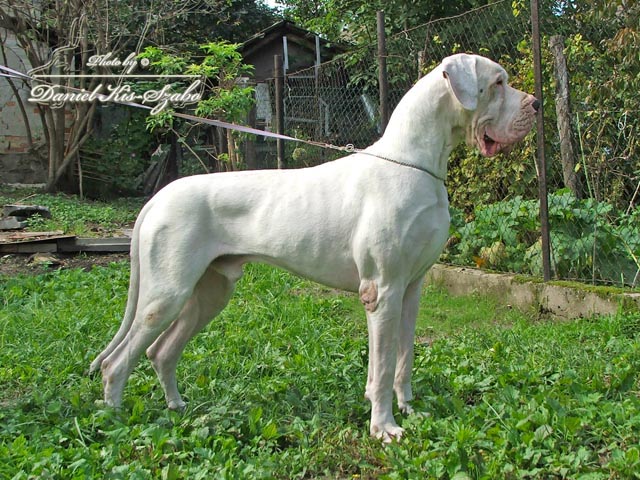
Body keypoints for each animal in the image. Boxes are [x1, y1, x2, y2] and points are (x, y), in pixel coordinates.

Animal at [90, 53, 538, 442]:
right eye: (498, 82)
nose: (536, 104)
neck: (417, 162)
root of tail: (156, 198)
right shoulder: (382, 290)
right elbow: (381, 367)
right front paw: (384, 428)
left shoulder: (411, 290)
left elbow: (403, 359)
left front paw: (409, 409)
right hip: (165, 294)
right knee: (116, 362)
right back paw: (115, 422)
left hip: (210, 292)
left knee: (161, 352)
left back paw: (177, 407)